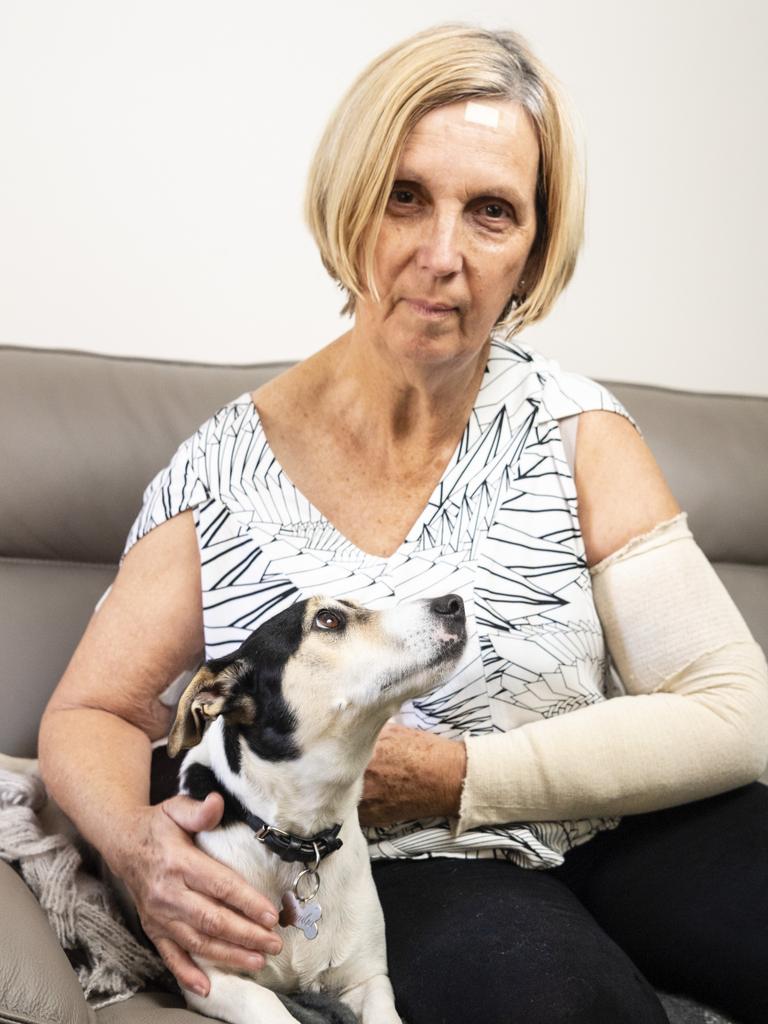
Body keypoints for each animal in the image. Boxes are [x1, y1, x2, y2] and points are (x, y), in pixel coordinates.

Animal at [167, 589, 468, 1019]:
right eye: (328, 620)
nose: (454, 602)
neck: (300, 836)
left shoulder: (367, 979)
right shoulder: (209, 980)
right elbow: (267, 1004)